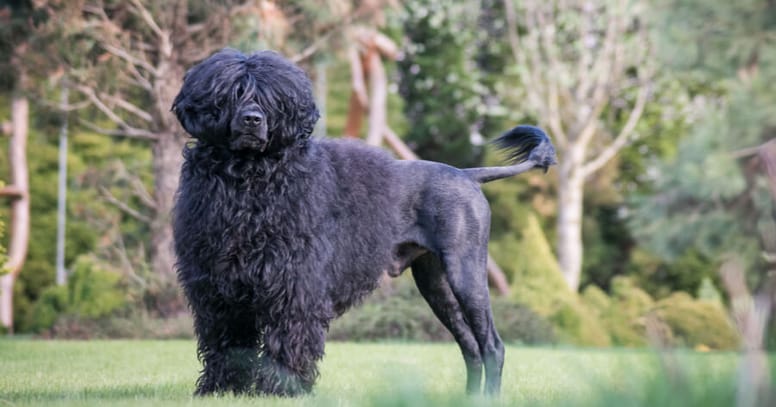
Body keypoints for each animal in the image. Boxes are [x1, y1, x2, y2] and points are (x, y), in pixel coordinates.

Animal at [172, 48, 556, 398]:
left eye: (270, 99)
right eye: (232, 93)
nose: (252, 119)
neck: (250, 178)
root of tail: (466, 174)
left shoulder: (295, 284)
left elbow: (288, 339)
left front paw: (283, 390)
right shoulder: (218, 287)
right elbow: (226, 343)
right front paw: (222, 389)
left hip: (467, 273)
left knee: (492, 345)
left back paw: (489, 396)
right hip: (436, 284)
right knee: (470, 347)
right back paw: (470, 398)